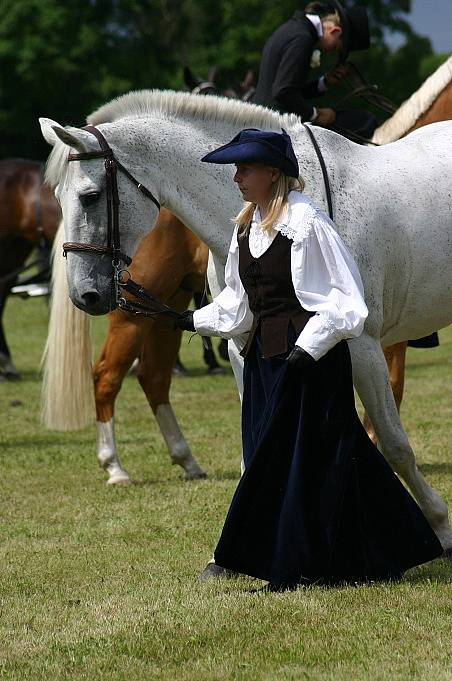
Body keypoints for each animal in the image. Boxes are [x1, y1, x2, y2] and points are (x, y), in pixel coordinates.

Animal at [38, 90, 452, 548]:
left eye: (90, 196)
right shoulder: (243, 347)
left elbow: (395, 442)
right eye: (57, 197)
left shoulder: (361, 344)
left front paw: (438, 523)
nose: (85, 294)